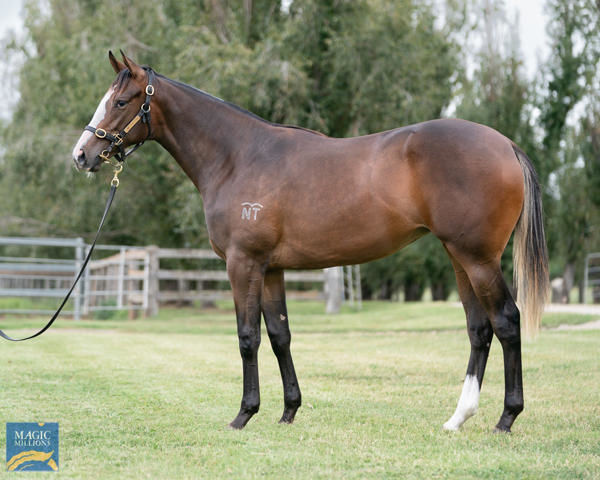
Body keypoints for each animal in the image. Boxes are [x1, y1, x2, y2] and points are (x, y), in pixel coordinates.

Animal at [71, 52, 548, 432]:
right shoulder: (271, 269)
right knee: (479, 329)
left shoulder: (243, 264)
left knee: (506, 321)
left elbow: (247, 337)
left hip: (478, 258)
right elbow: (280, 335)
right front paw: (288, 411)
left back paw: (506, 418)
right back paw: (458, 418)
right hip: (459, 257)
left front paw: (244, 414)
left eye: (120, 101)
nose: (81, 155)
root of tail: (505, 144)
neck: (238, 157)